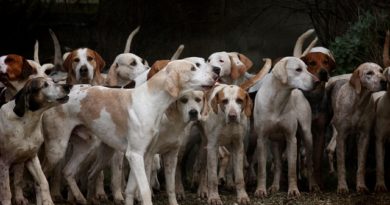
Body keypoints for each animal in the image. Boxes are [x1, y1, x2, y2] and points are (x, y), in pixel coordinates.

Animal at [0, 77, 71, 205]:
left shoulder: (31, 157)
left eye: (53, 81)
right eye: (45, 85)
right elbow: (6, 192)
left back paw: (20, 198)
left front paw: (48, 201)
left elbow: (43, 181)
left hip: (20, 161)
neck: (26, 124)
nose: (67, 86)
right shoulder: (4, 162)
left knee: (18, 180)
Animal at [253, 56, 320, 198]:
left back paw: (313, 185)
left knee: (309, 163)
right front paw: (260, 190)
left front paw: (293, 190)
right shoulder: (262, 139)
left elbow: (292, 169)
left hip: (307, 135)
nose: (317, 81)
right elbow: (262, 169)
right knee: (278, 165)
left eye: (307, 68)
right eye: (298, 69)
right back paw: (274, 186)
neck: (277, 99)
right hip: (275, 143)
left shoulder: (291, 138)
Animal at [330, 62, 386, 194]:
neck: (359, 103)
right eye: (369, 73)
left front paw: (361, 186)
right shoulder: (341, 136)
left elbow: (361, 164)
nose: (384, 81)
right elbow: (341, 164)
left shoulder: (364, 136)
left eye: (381, 71)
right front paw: (342, 187)